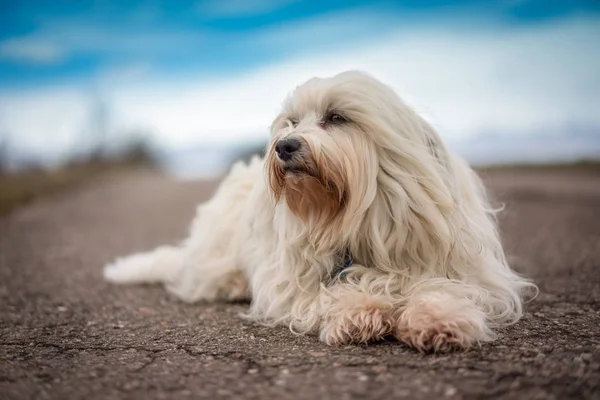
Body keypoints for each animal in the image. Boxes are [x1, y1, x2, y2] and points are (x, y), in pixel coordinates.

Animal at [104, 70, 540, 352]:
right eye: (292, 121)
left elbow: (442, 287)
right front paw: (360, 310)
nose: (285, 145)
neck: (355, 217)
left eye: (336, 118)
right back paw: (234, 284)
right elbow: (326, 294)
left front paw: (439, 317)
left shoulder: (461, 267)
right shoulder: (290, 283)